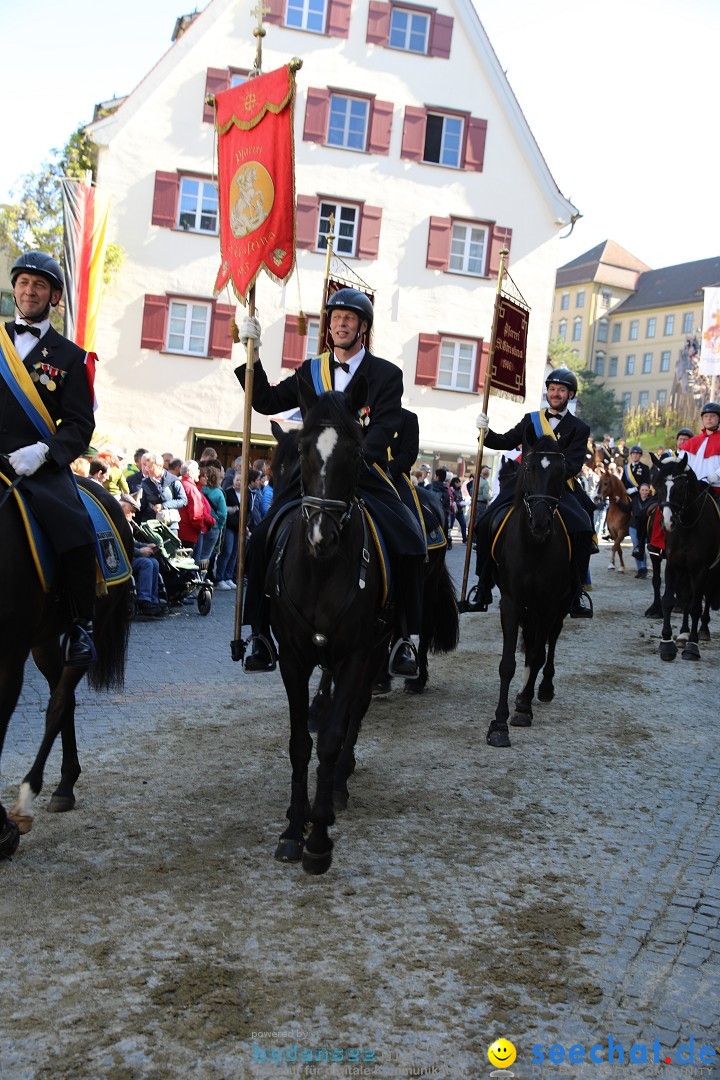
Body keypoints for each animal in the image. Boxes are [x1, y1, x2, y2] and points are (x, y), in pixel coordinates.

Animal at [0, 475, 133, 851]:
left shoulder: (10, 657)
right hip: (44, 640)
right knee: (65, 700)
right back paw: (65, 784)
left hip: (87, 627)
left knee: (59, 702)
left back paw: (33, 797)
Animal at [487, 425, 578, 747]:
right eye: (528, 467)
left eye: (562, 471)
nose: (540, 523)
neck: (534, 547)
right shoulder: (512, 602)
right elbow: (507, 663)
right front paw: (499, 725)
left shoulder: (549, 604)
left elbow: (538, 654)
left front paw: (524, 709)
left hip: (560, 604)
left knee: (550, 640)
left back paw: (543, 687)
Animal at [651, 453, 720, 656]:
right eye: (657, 484)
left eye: (681, 487)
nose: (667, 522)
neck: (688, 527)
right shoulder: (673, 564)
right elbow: (668, 601)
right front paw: (667, 642)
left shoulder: (701, 569)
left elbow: (696, 606)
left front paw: (692, 645)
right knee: (687, 597)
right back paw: (683, 633)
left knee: (706, 596)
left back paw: (702, 630)